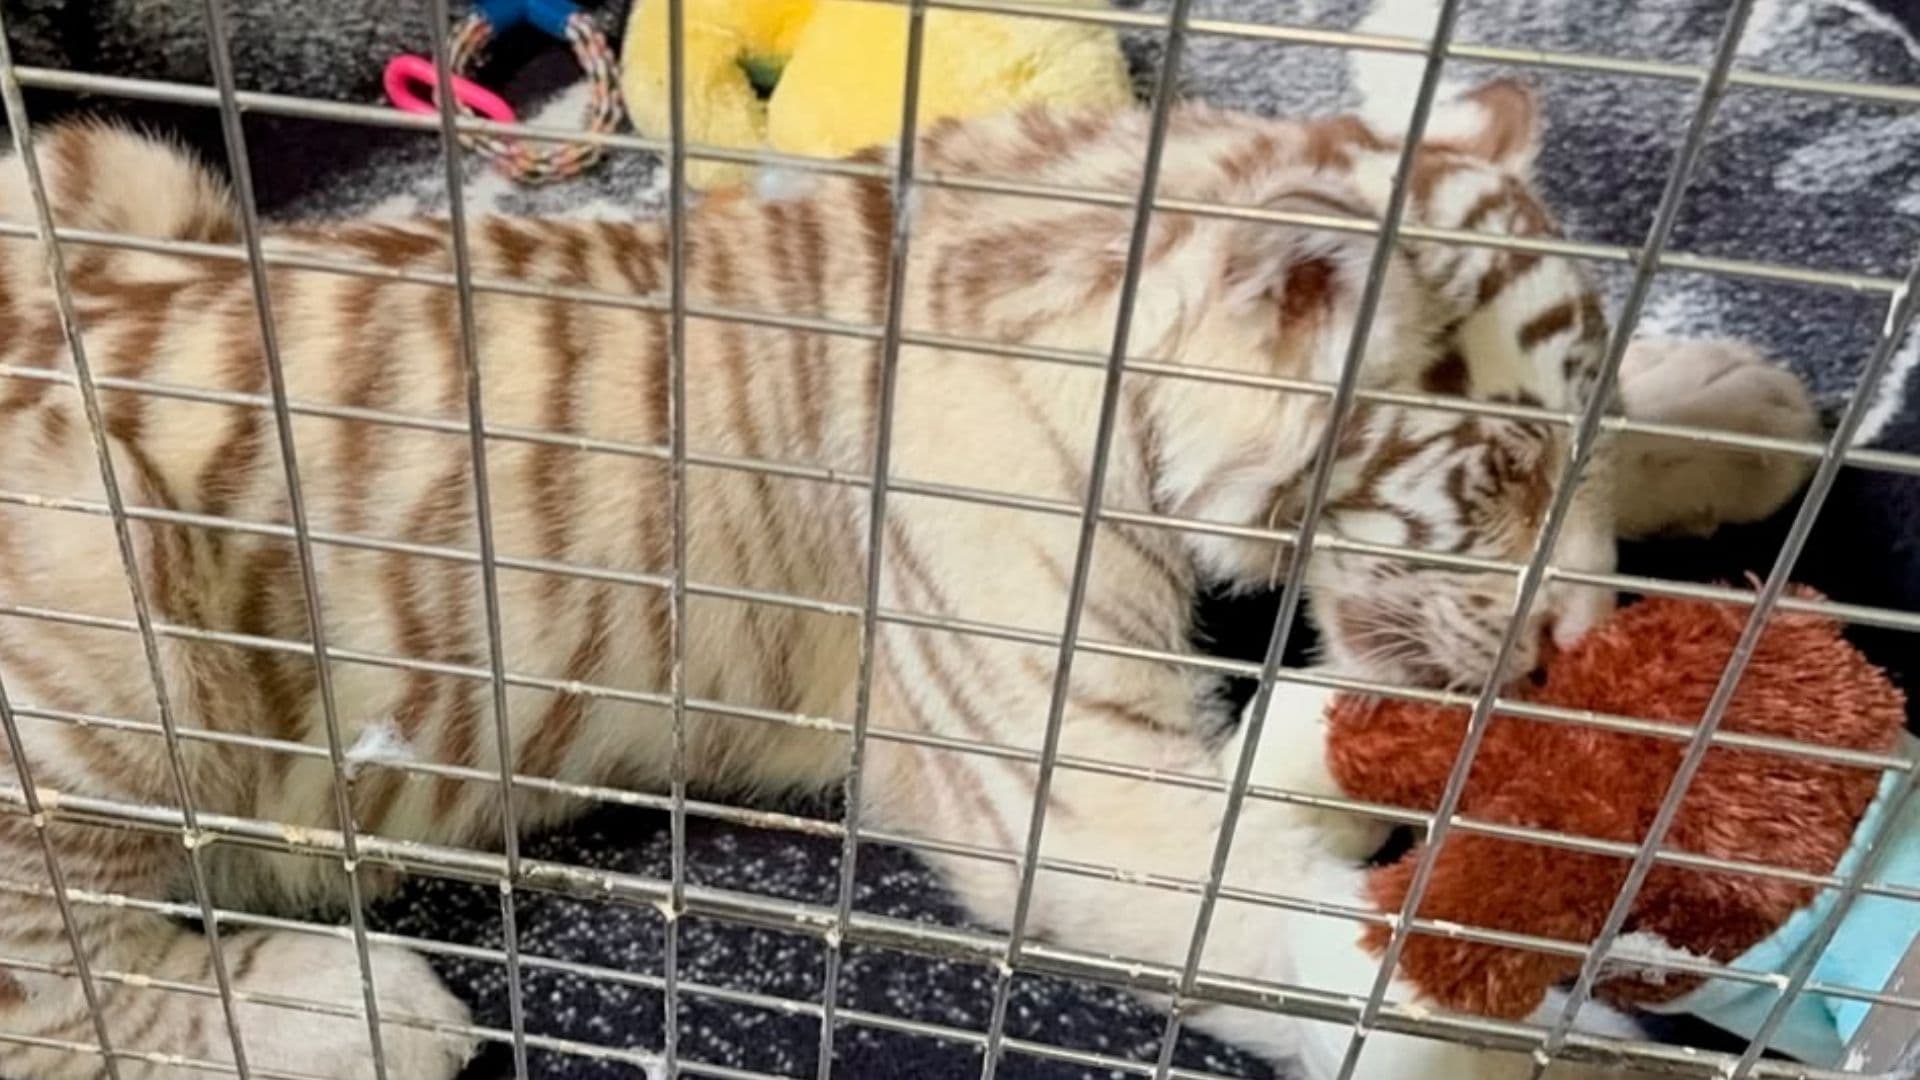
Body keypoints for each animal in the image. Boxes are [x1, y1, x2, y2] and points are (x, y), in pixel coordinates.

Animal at [0, 80, 1817, 1080]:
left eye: (1568, 455)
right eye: (1488, 477)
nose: (1581, 631)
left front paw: (1741, 406)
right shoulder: (1058, 780)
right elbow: (1295, 938)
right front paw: (1546, 1059)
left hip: (120, 173)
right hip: (118, 613)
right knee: (53, 980)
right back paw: (360, 1011)